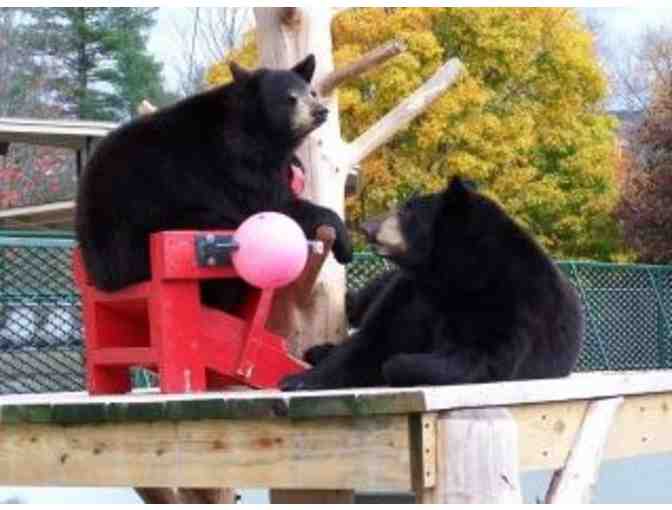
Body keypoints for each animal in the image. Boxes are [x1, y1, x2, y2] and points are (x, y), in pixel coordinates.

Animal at [76, 54, 352, 310]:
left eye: (312, 92)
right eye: (290, 98)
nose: (320, 111)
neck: (259, 129)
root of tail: (101, 275)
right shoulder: (237, 161)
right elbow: (273, 203)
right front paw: (344, 243)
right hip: (152, 229)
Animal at [280, 176, 584, 390]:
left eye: (406, 211)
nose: (367, 226)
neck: (447, 272)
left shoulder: (509, 300)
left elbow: (477, 359)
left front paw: (398, 364)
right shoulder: (413, 292)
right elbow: (373, 338)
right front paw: (298, 380)